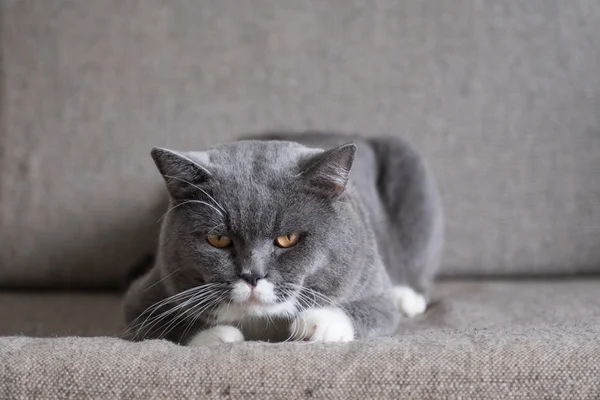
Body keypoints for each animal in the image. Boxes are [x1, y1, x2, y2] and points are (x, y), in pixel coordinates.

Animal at [122, 133, 442, 346]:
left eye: (288, 238)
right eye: (219, 239)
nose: (252, 275)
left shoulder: (372, 285)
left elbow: (377, 310)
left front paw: (318, 323)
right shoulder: (145, 294)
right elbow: (156, 322)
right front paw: (219, 336)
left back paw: (408, 297)